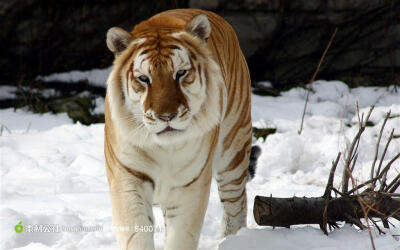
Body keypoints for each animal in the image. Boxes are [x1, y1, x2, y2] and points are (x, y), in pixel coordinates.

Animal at [103, 8, 260, 250]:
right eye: (143, 78)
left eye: (181, 73)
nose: (166, 116)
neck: (164, 149)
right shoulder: (128, 178)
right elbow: (136, 234)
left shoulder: (190, 185)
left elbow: (181, 236)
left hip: (233, 150)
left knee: (236, 203)